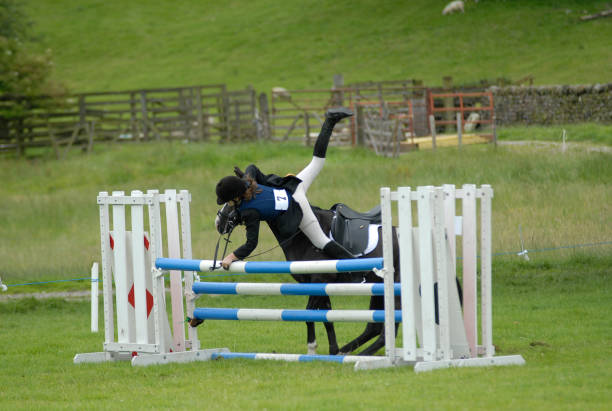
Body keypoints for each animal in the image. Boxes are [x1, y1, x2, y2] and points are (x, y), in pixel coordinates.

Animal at [216, 201, 402, 356]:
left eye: (232, 201)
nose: (218, 222)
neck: (302, 234)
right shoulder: (319, 285)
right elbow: (327, 318)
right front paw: (333, 350)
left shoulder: (319, 280)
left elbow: (309, 313)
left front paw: (312, 348)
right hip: (378, 290)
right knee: (374, 327)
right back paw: (347, 351)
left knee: (388, 327)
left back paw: (363, 355)